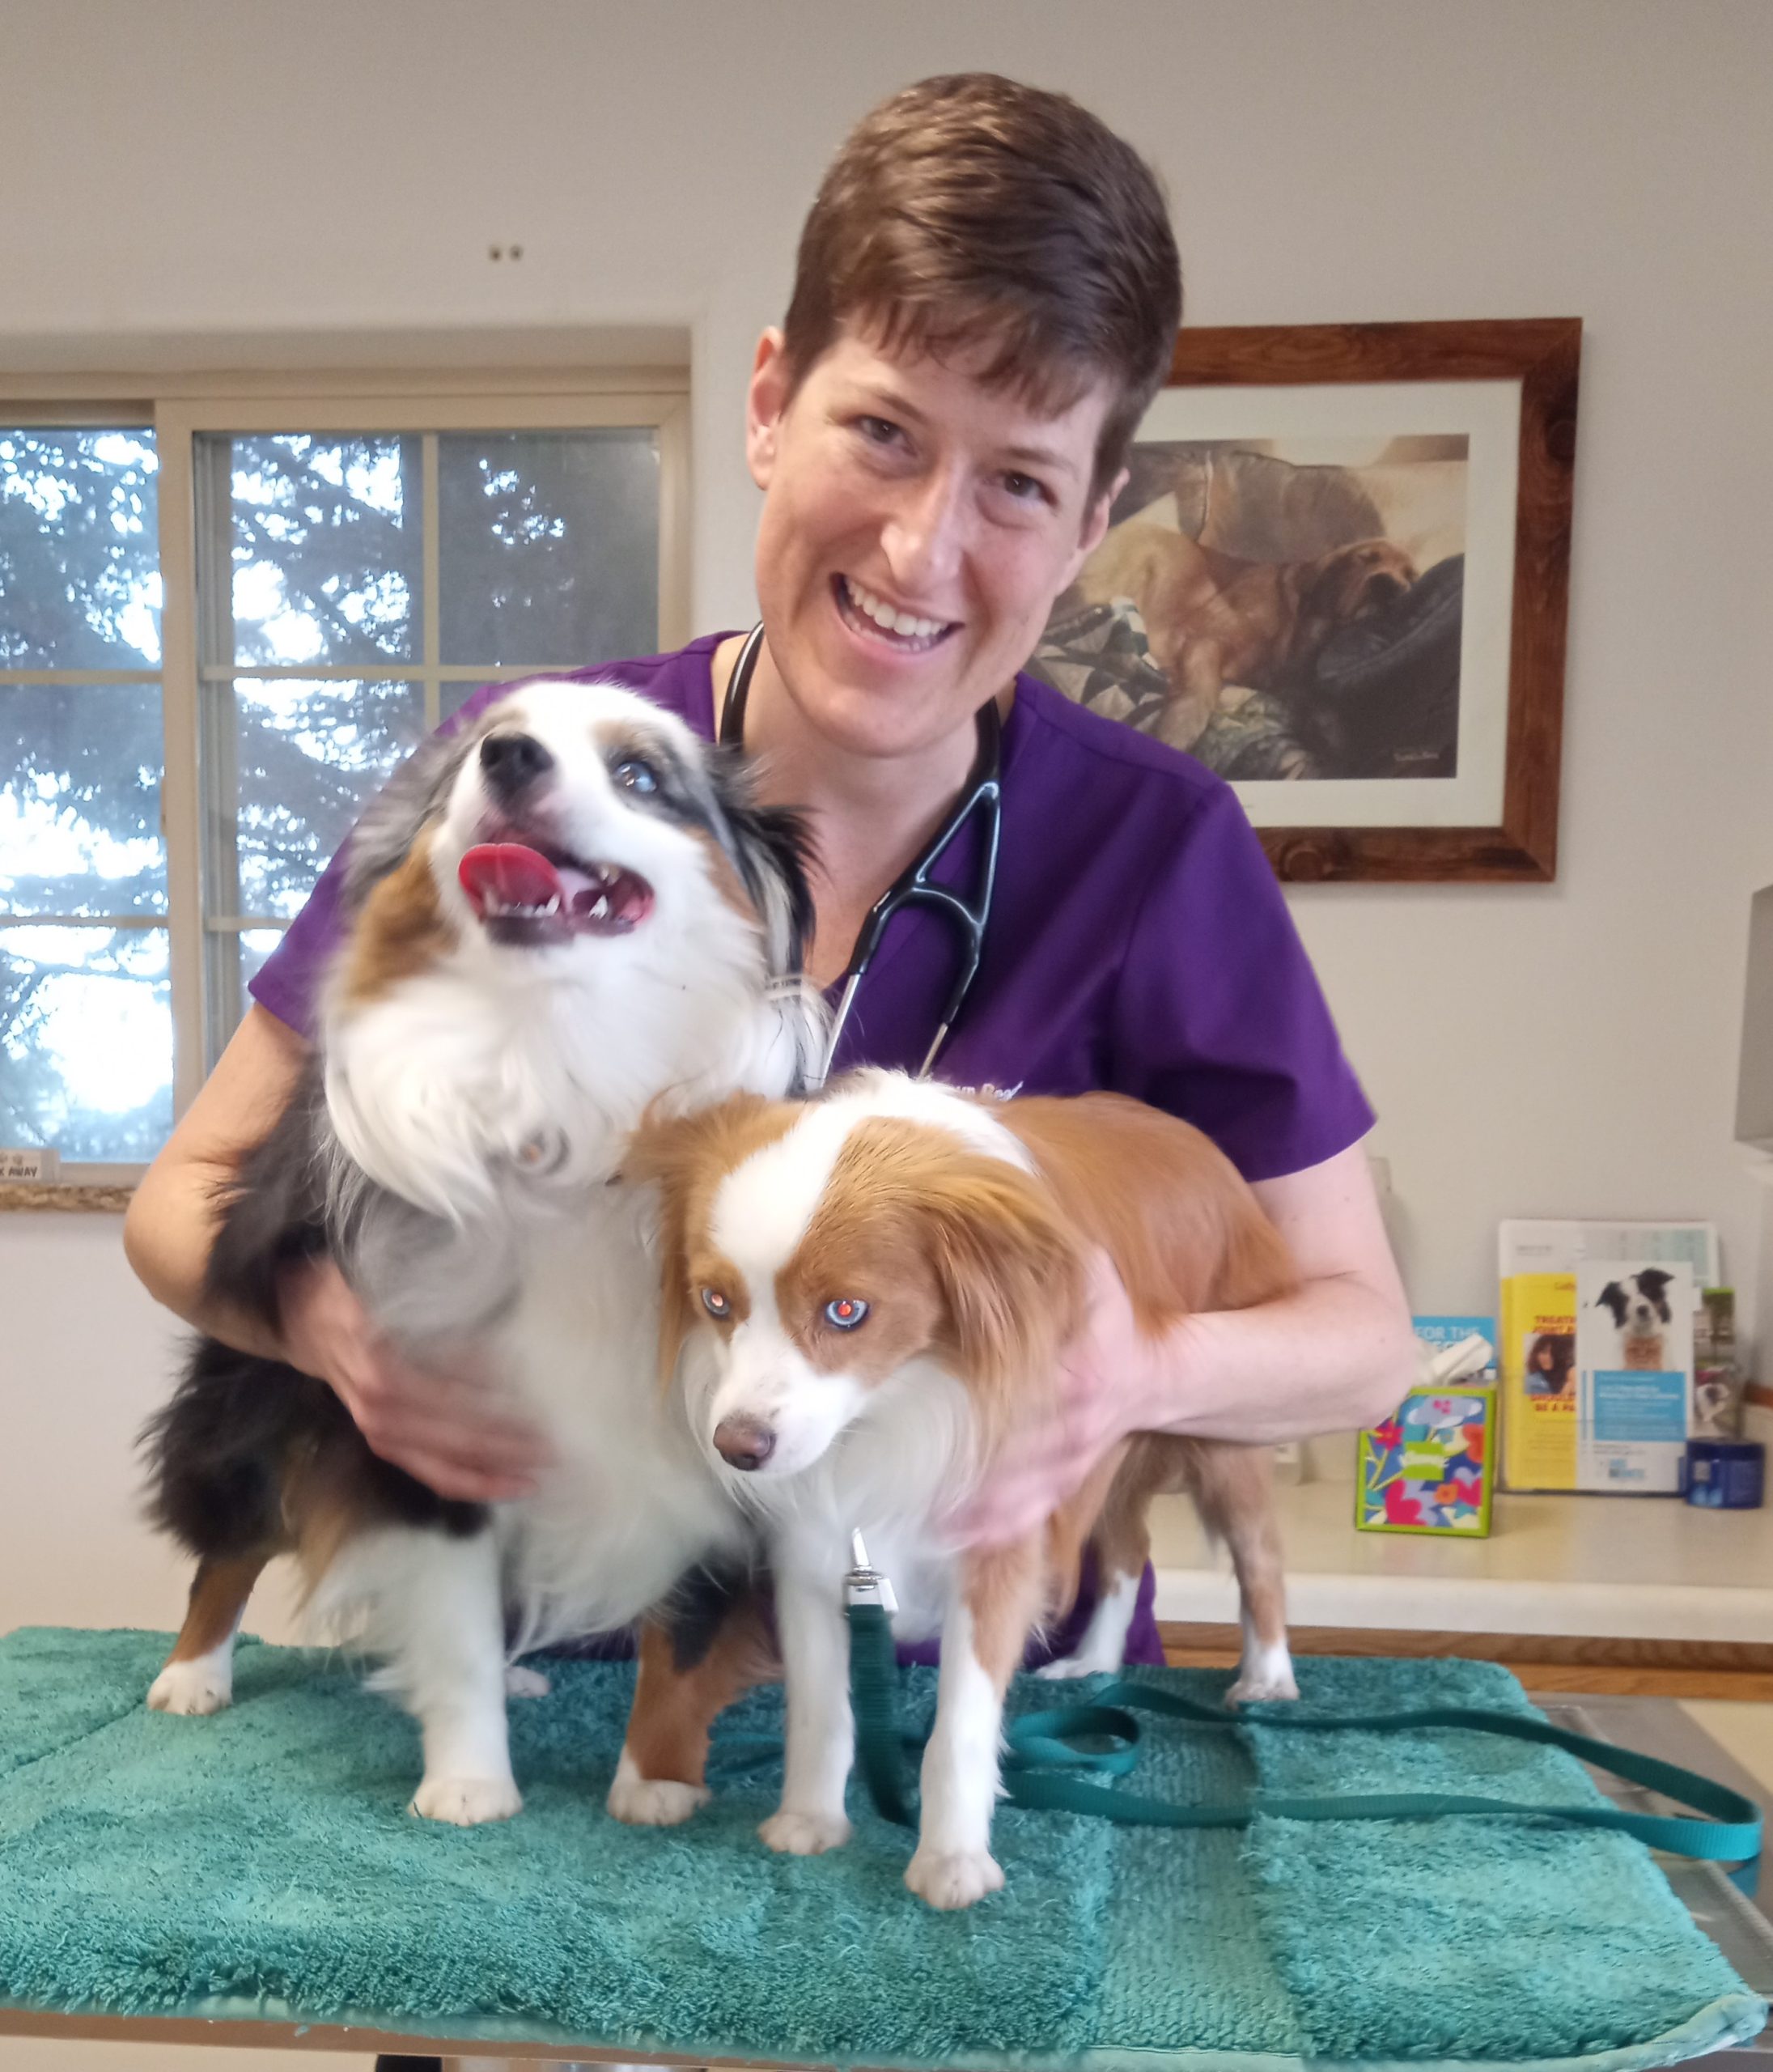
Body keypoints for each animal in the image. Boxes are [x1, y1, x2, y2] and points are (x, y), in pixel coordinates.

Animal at [142, 680, 824, 1827]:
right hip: (263, 1388)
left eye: (640, 774)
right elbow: (453, 1626)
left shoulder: (713, 1420)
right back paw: (193, 1672)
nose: (509, 758)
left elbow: (684, 1628)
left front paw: (657, 1778)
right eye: (475, 756)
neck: (553, 1061)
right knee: (229, 1541)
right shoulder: (417, 1427)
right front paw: (469, 1782)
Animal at [621, 1069, 1296, 1908]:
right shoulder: (813, 1555)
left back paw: (1268, 1678)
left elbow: (960, 1731)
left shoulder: (1000, 1538)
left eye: (846, 1311)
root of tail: (1197, 1144)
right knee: (1125, 1549)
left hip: (1223, 1435)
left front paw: (951, 1859)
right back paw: (1096, 1662)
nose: (739, 1448)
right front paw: (809, 1818)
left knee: (1258, 1557)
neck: (894, 1402)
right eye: (716, 1303)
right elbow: (820, 1711)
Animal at [1075, 522, 1417, 751]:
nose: (1387, 585)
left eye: (1412, 577)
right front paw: (1176, 733)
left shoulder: (1293, 681)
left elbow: (1318, 702)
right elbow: (1199, 696)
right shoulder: (1206, 639)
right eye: (1367, 558)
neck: (1297, 622)